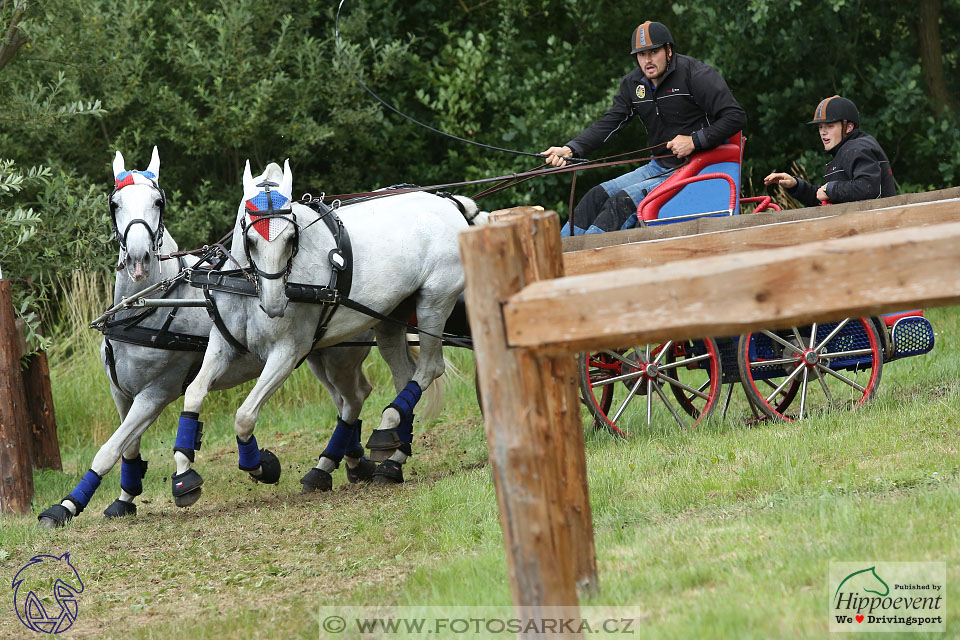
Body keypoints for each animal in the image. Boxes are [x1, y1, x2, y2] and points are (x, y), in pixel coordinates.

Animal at [37, 148, 376, 528]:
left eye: (158, 202)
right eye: (115, 203)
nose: (138, 258)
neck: (148, 305)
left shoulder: (155, 394)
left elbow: (109, 449)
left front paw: (67, 505)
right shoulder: (121, 392)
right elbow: (128, 447)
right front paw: (123, 498)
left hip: (339, 354)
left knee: (353, 396)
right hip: (320, 355)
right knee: (349, 398)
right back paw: (350, 460)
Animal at [171, 159, 480, 500]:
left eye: (291, 238)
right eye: (251, 239)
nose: (275, 304)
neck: (249, 288)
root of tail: (448, 203)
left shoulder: (286, 353)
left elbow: (244, 416)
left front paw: (261, 466)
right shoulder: (222, 345)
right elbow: (194, 394)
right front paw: (183, 473)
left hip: (433, 304)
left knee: (428, 368)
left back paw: (384, 430)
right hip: (389, 319)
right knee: (403, 377)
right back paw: (389, 457)